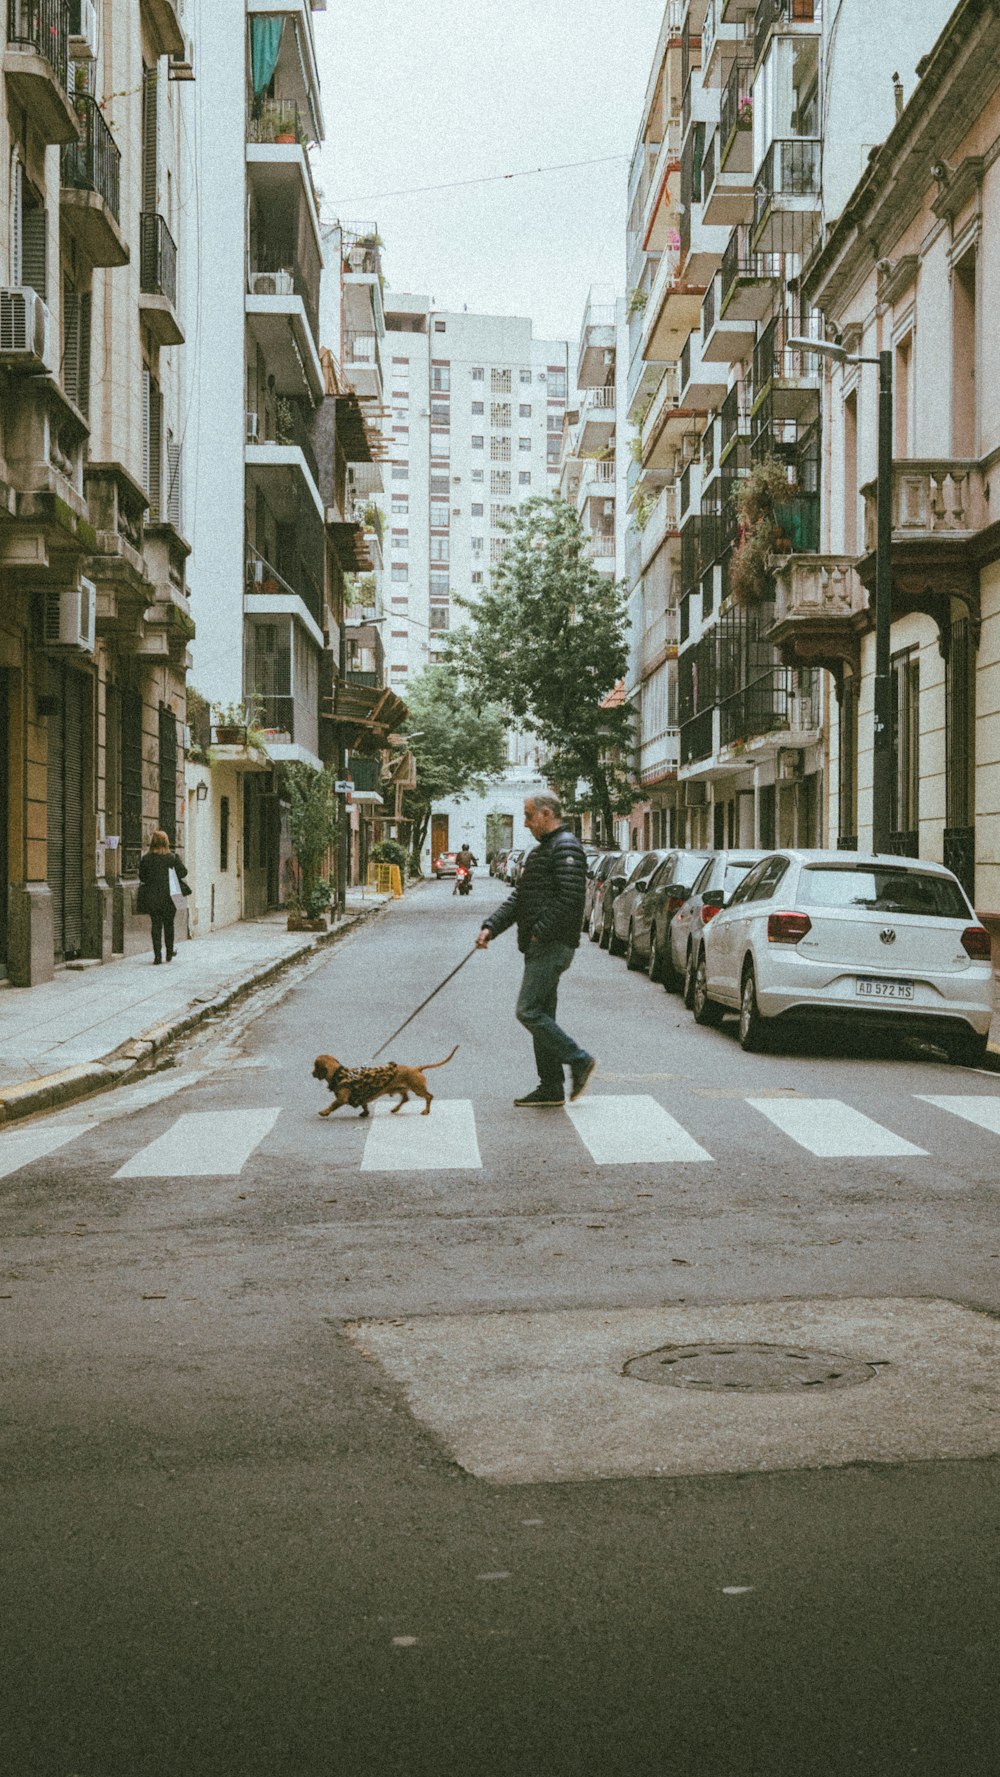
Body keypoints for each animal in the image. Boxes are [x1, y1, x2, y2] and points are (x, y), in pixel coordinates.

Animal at [310, 1044, 458, 1115]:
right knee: (406, 1099)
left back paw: (426, 1111)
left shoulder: (342, 1099)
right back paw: (395, 1109)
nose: (311, 1073)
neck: (339, 1074)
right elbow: (364, 1104)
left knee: (429, 1096)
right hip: (401, 1088)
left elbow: (333, 1104)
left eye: (315, 1066)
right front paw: (365, 1113)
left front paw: (324, 1112)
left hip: (417, 1088)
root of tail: (416, 1068)